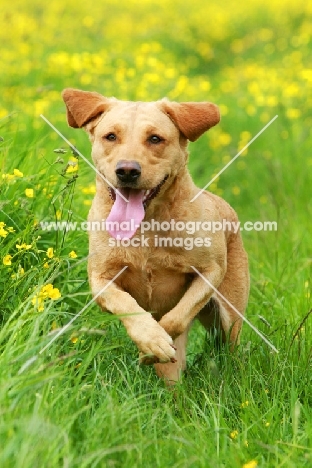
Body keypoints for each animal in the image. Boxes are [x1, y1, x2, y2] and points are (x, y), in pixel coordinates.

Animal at [62, 88, 250, 384]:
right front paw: (151, 341)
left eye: (155, 138)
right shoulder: (100, 279)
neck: (146, 228)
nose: (127, 170)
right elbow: (127, 304)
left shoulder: (211, 271)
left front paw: (154, 346)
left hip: (230, 319)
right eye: (111, 136)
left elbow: (175, 319)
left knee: (227, 347)